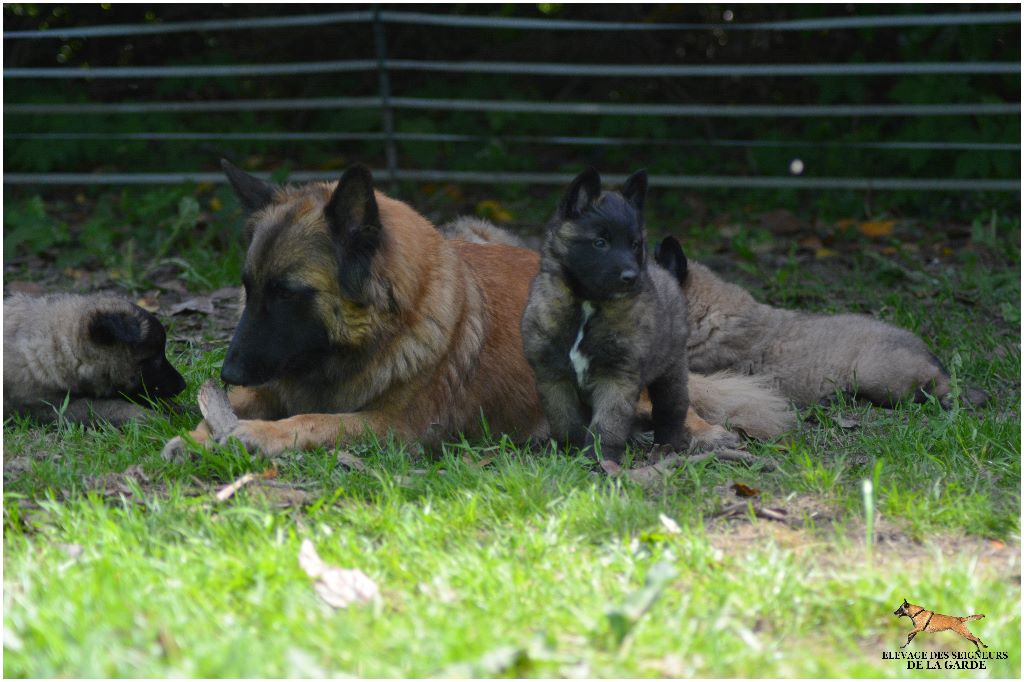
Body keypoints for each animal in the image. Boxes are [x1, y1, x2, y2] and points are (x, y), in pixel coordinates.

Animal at [163, 161, 794, 454]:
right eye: (248, 288)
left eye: (287, 294)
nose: (225, 371)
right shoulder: (277, 381)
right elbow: (245, 407)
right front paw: (199, 434)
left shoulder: (394, 428)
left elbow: (312, 421)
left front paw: (255, 435)